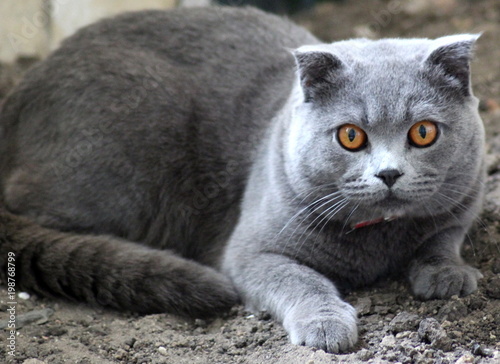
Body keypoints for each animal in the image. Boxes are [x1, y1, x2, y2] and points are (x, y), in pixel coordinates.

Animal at [0, 5, 484, 352]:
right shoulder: (250, 253)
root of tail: (21, 92)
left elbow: (443, 236)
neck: (376, 242)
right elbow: (301, 279)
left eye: (423, 132)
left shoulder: (465, 199)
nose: (388, 173)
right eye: (351, 136)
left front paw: (448, 274)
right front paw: (326, 324)